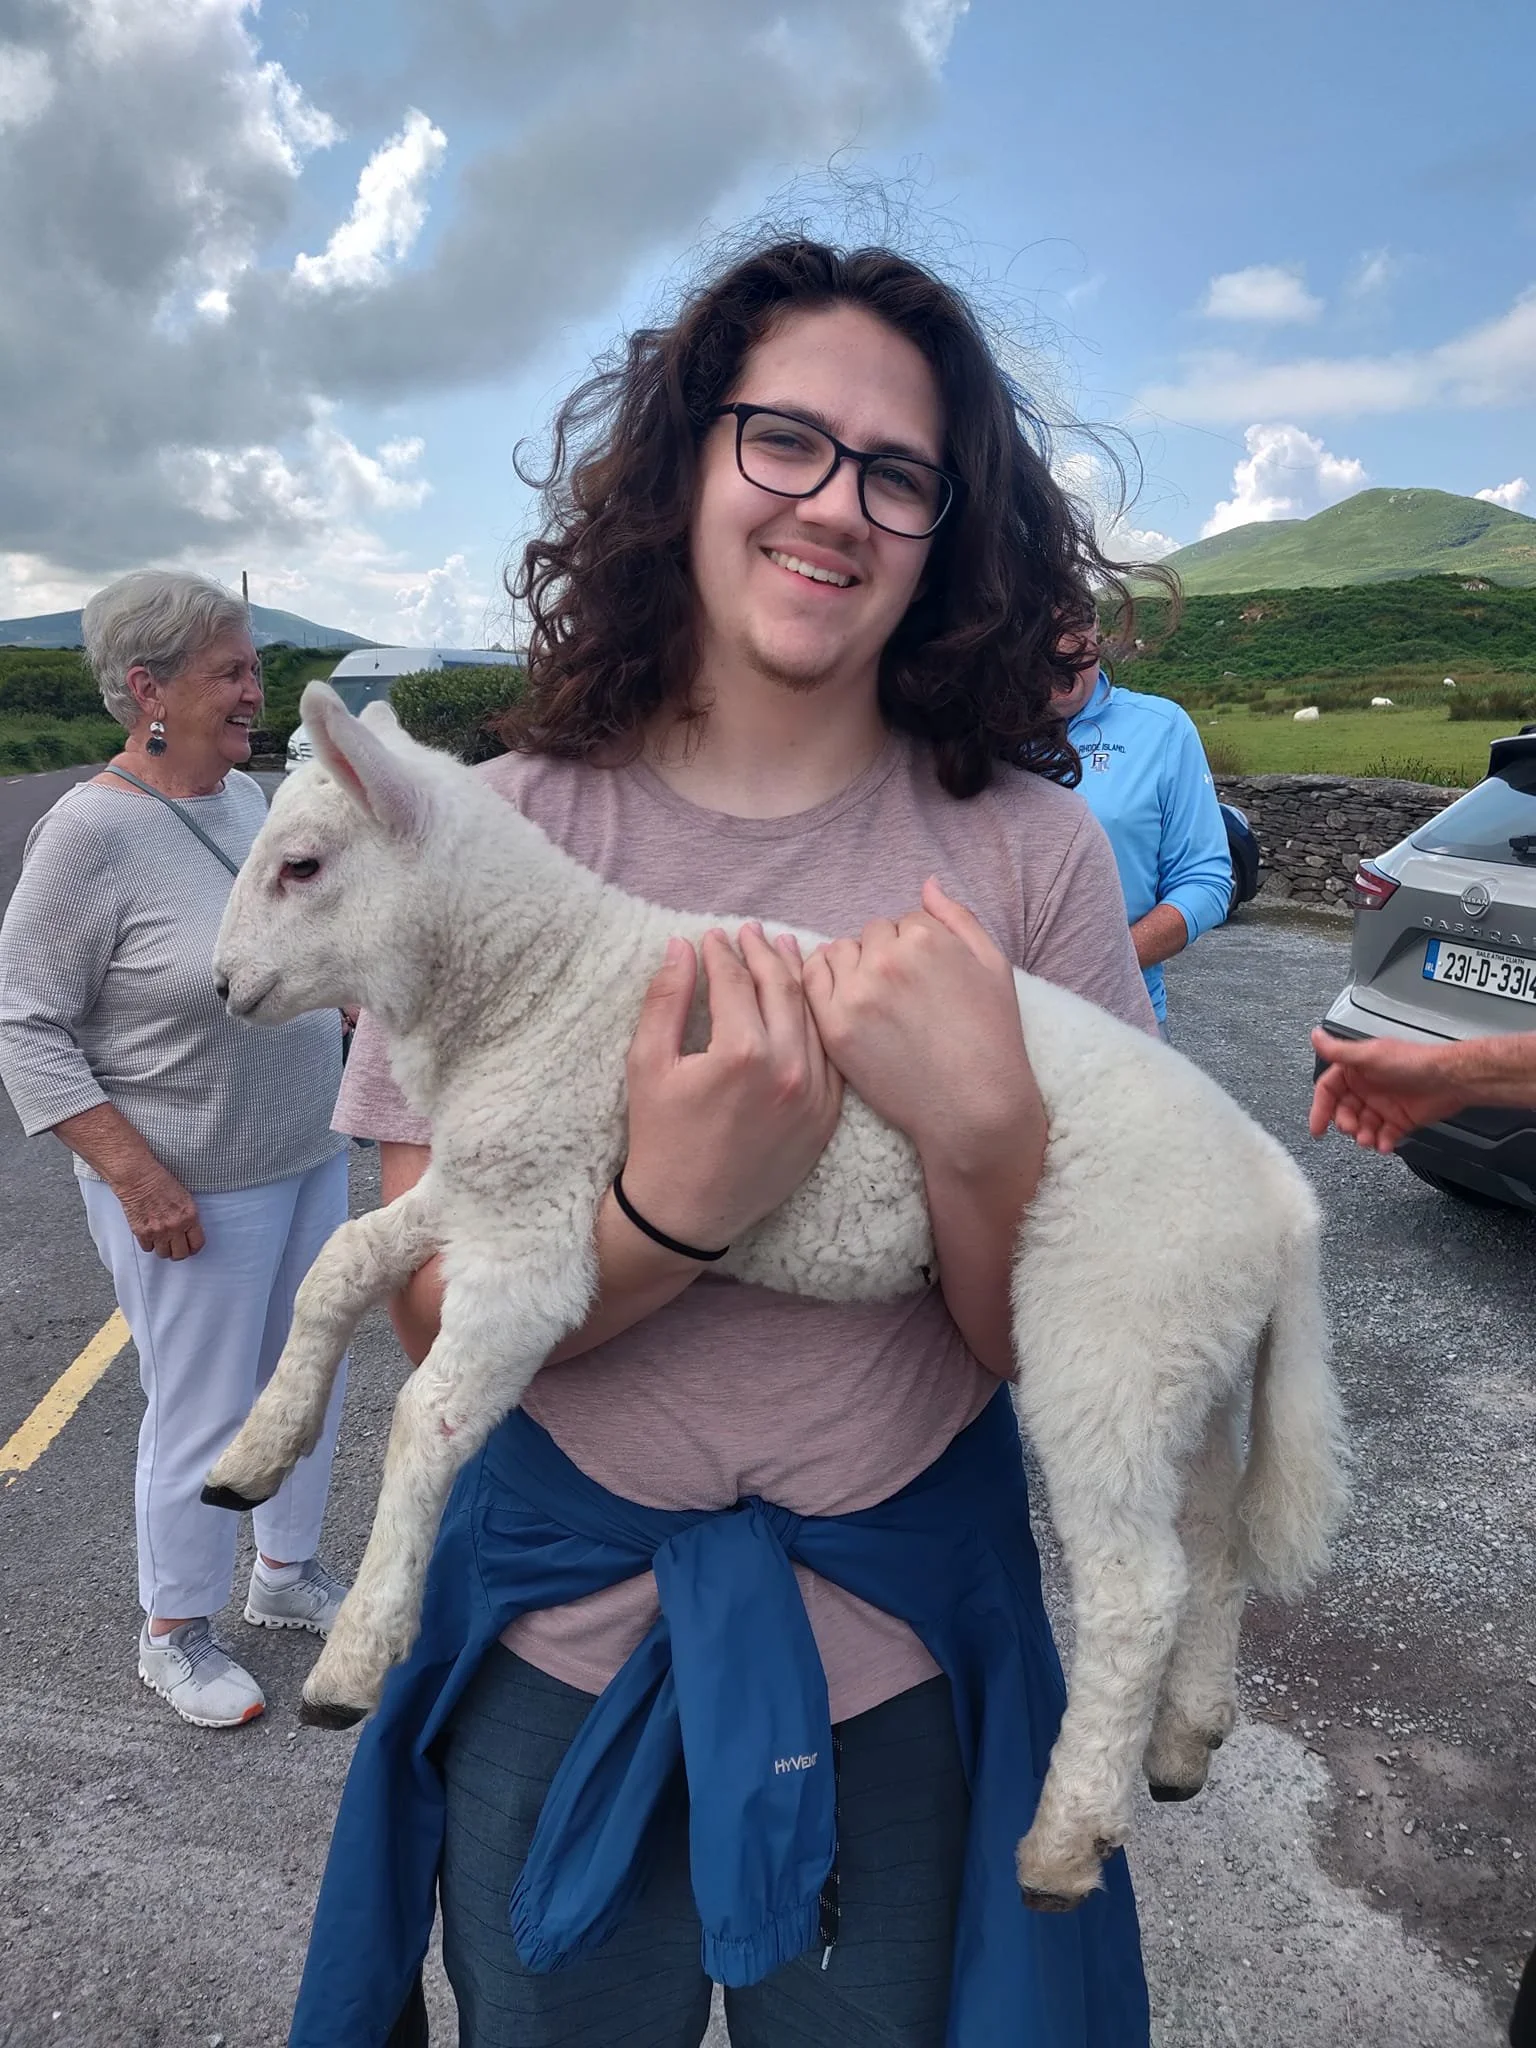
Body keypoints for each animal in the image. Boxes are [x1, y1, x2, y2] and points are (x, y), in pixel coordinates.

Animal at [205, 683, 1348, 1912]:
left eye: (303, 866)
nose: (219, 988)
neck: (537, 986)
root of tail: (1284, 1207)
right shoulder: (478, 1184)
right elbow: (336, 1268)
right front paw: (252, 1454)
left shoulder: (534, 1226)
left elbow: (431, 1418)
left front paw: (356, 1658)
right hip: (1193, 1354)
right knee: (1213, 1536)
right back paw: (1186, 1738)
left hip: (1112, 1323)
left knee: (1138, 1587)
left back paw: (1064, 1838)